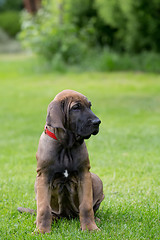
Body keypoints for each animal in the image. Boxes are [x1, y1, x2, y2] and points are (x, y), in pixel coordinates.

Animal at [35, 89, 104, 232]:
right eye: (76, 107)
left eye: (90, 106)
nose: (97, 122)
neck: (66, 146)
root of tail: (67, 216)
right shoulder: (43, 177)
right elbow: (43, 208)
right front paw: (42, 231)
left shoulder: (84, 175)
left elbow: (86, 206)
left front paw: (90, 228)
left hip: (96, 179)